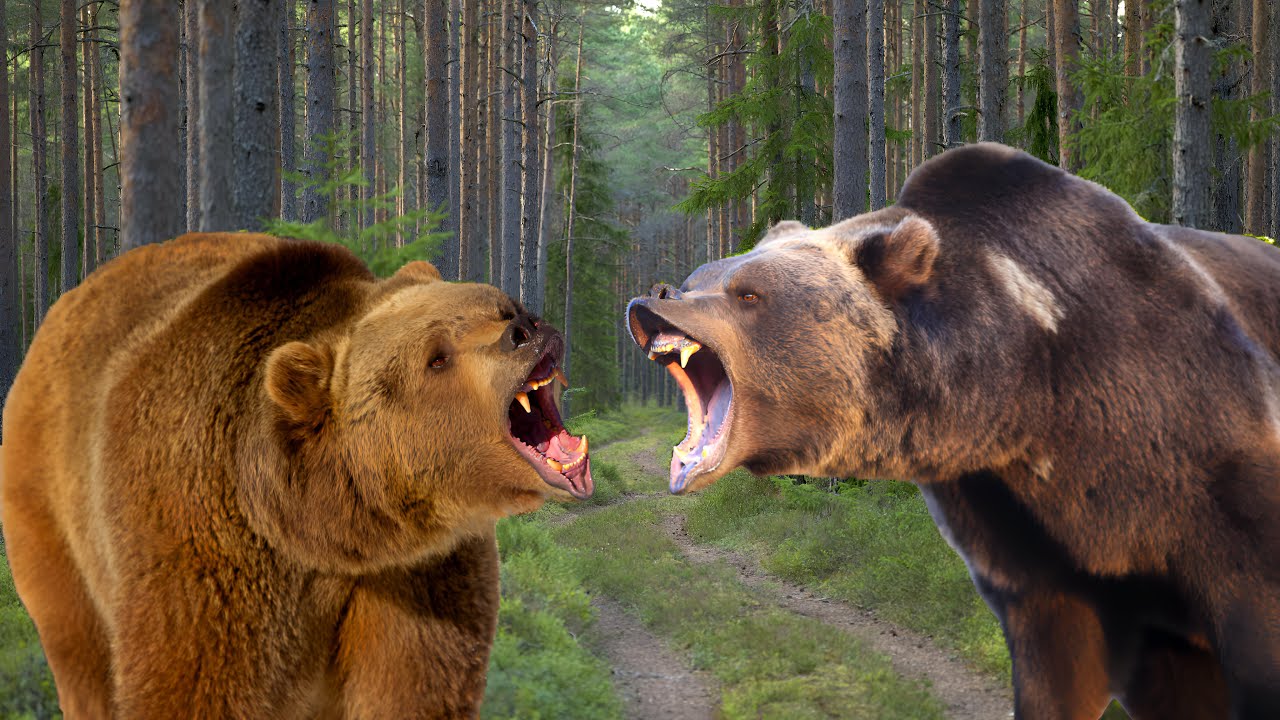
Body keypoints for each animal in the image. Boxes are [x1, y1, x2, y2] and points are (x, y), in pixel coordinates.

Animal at [1, 232, 592, 719]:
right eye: (437, 357)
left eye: (504, 305)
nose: (526, 329)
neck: (330, 533)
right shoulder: (207, 544)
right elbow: (197, 681)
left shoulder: (420, 575)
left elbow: (414, 686)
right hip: (52, 512)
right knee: (81, 650)